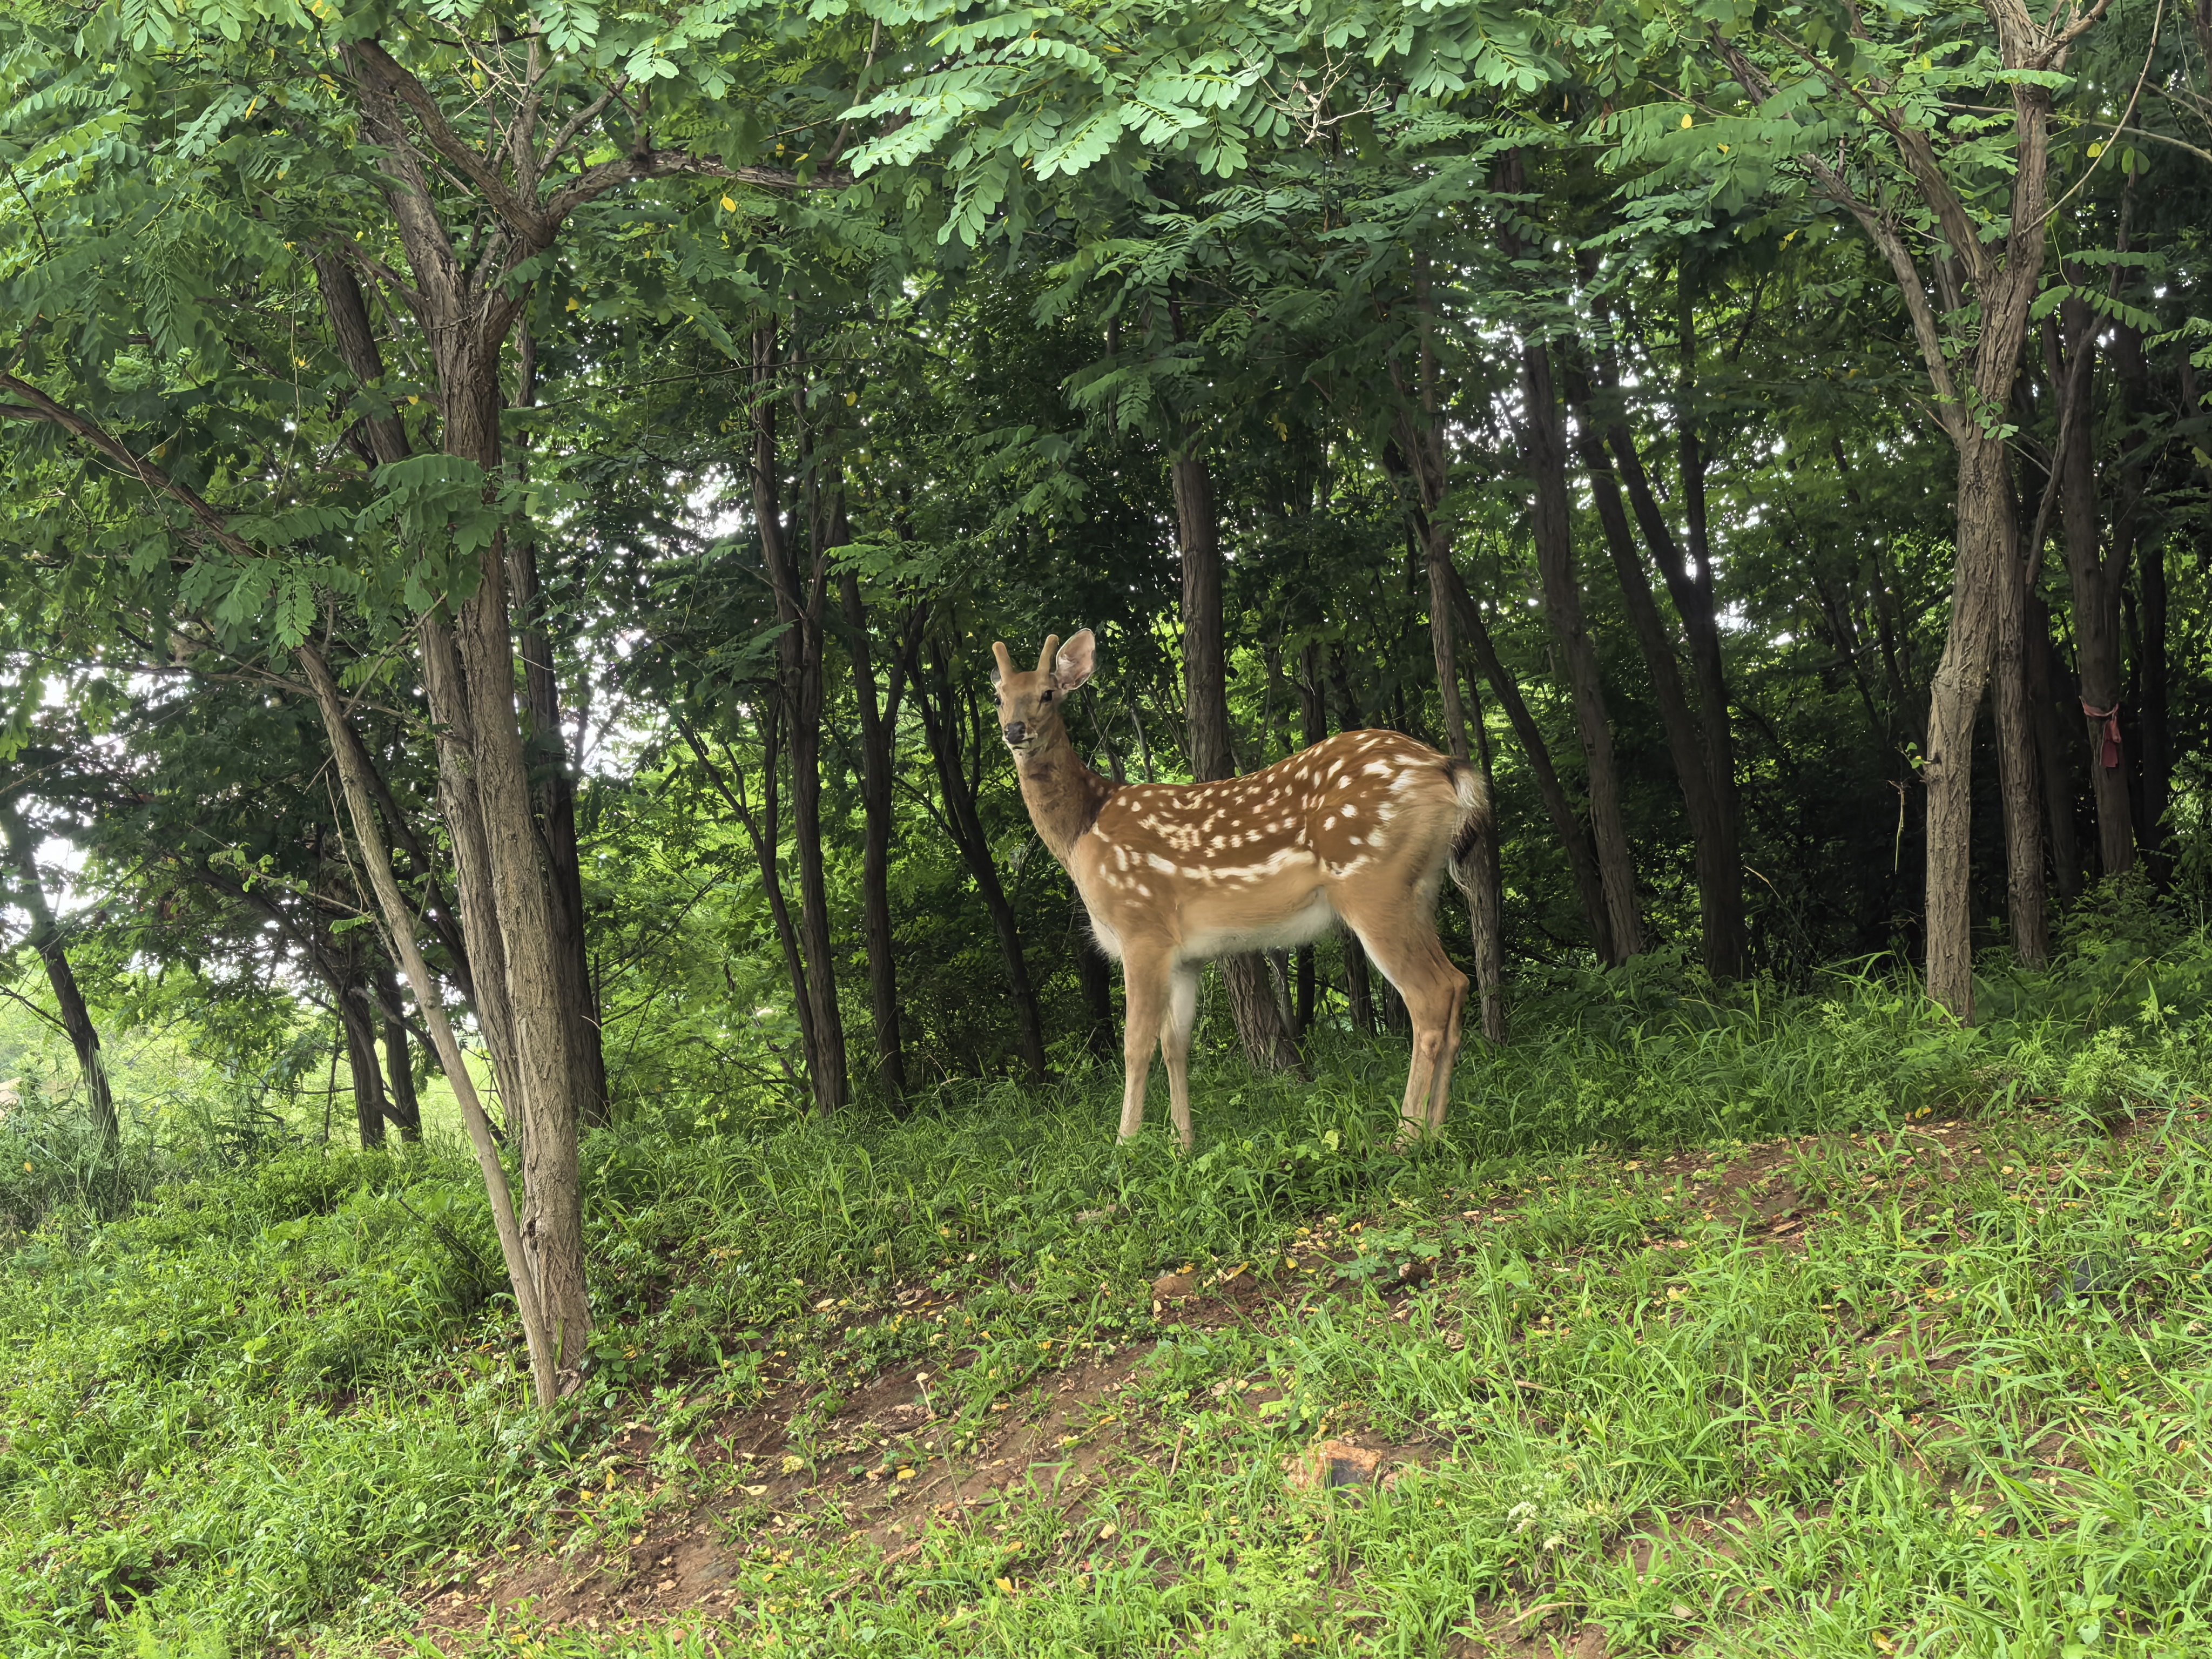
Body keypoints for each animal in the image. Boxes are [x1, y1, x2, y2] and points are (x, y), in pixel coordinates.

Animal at [990, 628, 1490, 1151]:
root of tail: (1446, 768)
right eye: (998, 696)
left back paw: (1406, 1137)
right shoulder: (1184, 956)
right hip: (1420, 890)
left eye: (1049, 693)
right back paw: (1438, 1129)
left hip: (1374, 885)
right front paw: (1182, 1145)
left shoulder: (1141, 927)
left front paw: (1126, 1146)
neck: (1082, 831)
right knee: (1457, 982)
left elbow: (1136, 1043)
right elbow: (1175, 1044)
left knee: (1430, 995)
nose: (1015, 730)